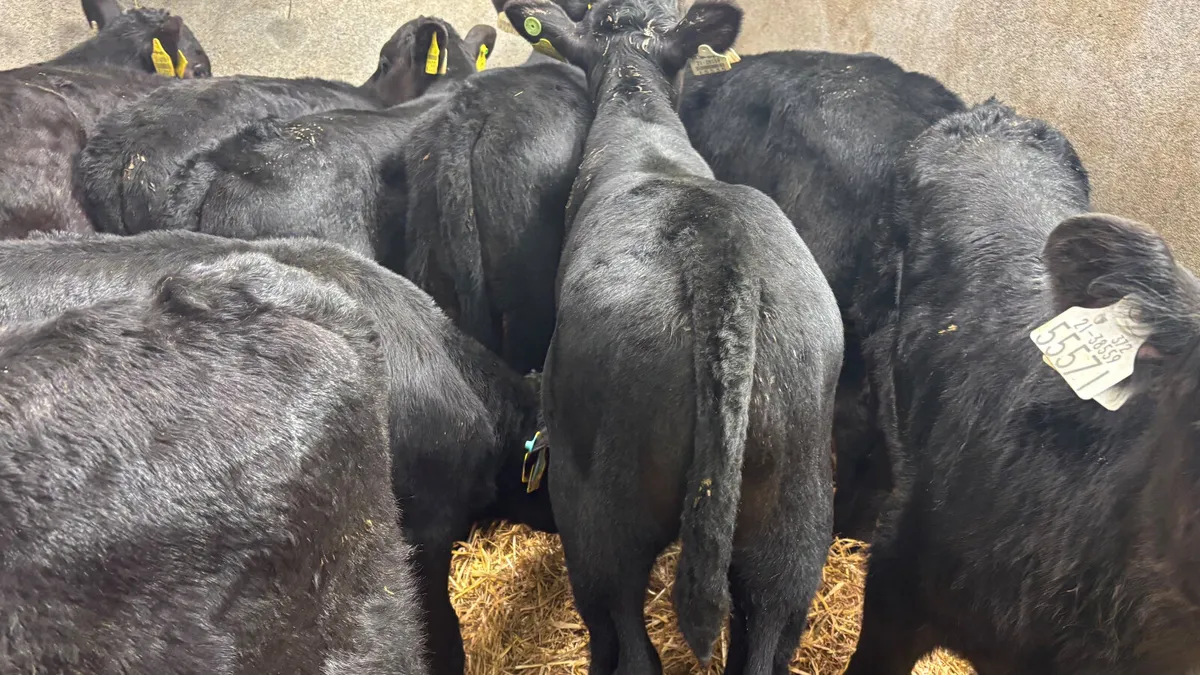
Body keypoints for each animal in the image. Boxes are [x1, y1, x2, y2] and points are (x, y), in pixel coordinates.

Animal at [501, 1, 843, 673]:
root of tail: (720, 262)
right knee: (767, 636)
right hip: (795, 523)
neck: (641, 127)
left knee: (625, 638)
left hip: (599, 513)